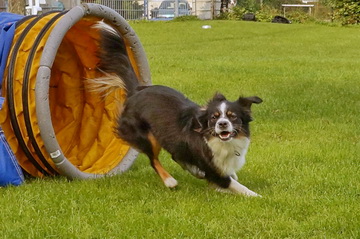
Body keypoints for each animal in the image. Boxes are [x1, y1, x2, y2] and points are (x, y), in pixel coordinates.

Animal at [87, 22, 262, 196]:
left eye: (233, 116)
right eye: (214, 117)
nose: (222, 124)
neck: (218, 141)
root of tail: (137, 90)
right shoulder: (213, 170)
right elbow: (235, 185)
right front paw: (258, 196)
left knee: (174, 157)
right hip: (145, 135)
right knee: (153, 159)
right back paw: (169, 181)